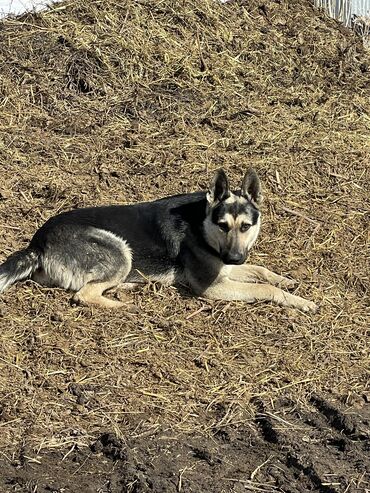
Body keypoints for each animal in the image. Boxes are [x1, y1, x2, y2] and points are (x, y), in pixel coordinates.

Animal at [0, 167, 318, 310]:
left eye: (246, 227)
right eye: (223, 225)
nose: (234, 257)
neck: (202, 225)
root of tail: (36, 244)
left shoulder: (226, 270)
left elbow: (261, 271)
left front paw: (286, 280)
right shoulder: (213, 286)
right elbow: (264, 288)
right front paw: (299, 301)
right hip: (120, 252)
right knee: (83, 295)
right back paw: (125, 306)